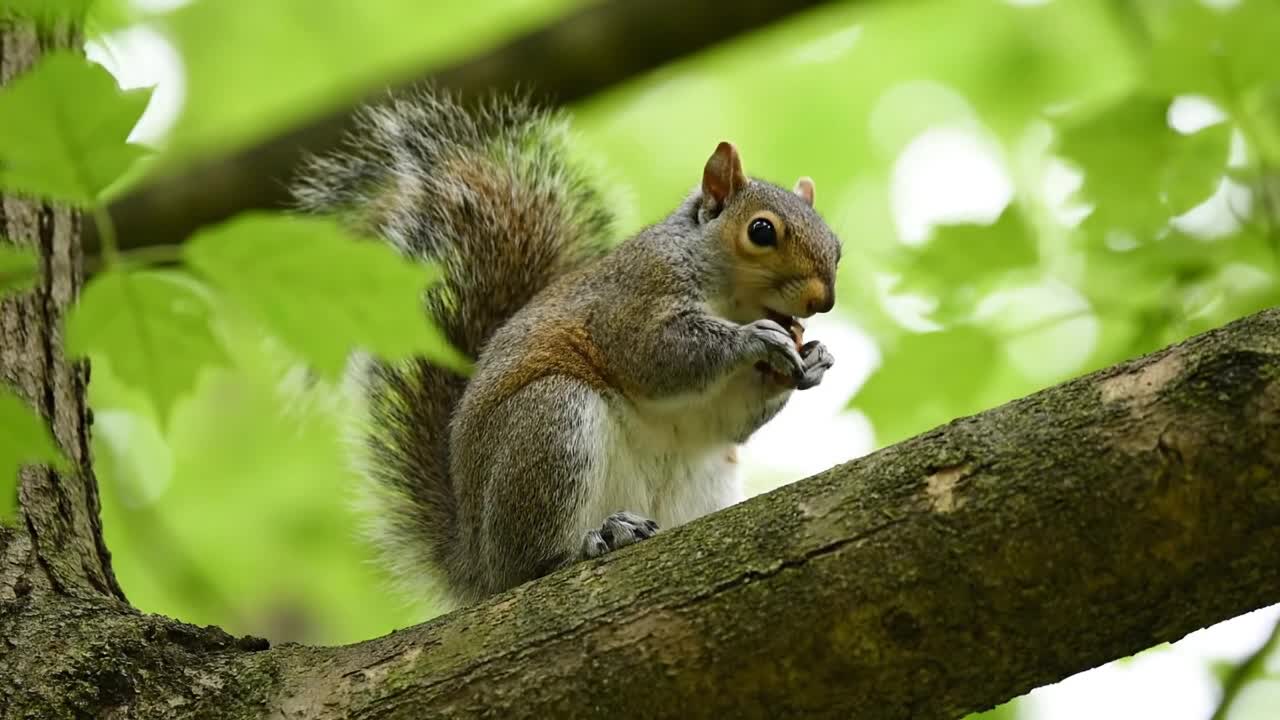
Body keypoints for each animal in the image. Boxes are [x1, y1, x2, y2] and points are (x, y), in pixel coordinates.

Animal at [291, 89, 842, 607]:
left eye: (836, 246)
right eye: (761, 230)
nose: (824, 301)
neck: (731, 298)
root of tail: (479, 565)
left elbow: (729, 419)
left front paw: (811, 361)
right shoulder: (633, 299)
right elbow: (654, 355)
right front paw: (753, 340)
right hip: (551, 424)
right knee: (534, 564)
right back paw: (593, 540)